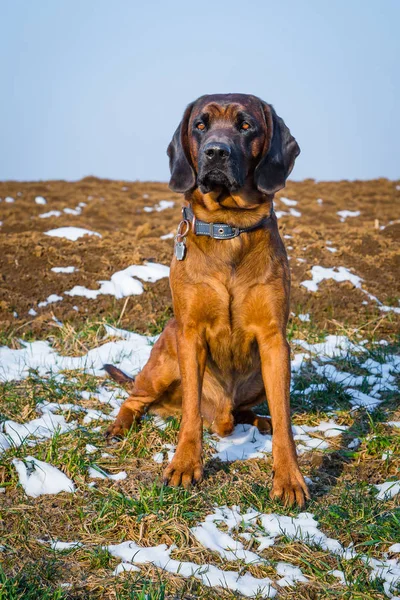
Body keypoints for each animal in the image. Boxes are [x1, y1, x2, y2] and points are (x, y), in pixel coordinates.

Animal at [105, 94, 310, 506]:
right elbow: (190, 414)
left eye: (246, 126)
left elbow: (285, 419)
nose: (216, 151)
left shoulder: (275, 342)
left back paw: (256, 421)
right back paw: (120, 427)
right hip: (163, 360)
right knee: (136, 399)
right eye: (200, 125)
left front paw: (289, 478)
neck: (228, 226)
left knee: (241, 414)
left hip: (259, 377)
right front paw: (184, 465)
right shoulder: (191, 334)